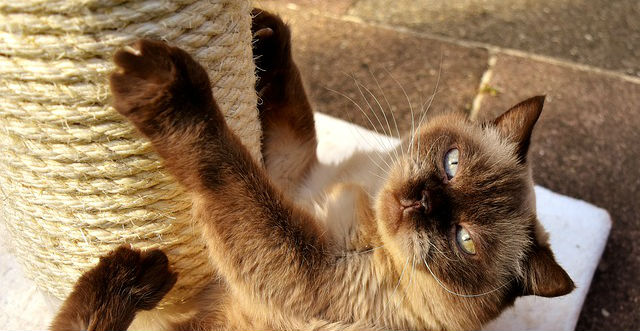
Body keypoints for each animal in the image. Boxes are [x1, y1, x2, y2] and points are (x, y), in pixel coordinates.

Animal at [47, 8, 572, 331]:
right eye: (452, 164)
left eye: (464, 241)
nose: (419, 200)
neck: (363, 194)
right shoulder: (290, 176)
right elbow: (293, 120)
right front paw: (265, 39)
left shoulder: (305, 266)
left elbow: (225, 164)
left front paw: (170, 91)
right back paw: (132, 278)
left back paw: (137, 275)